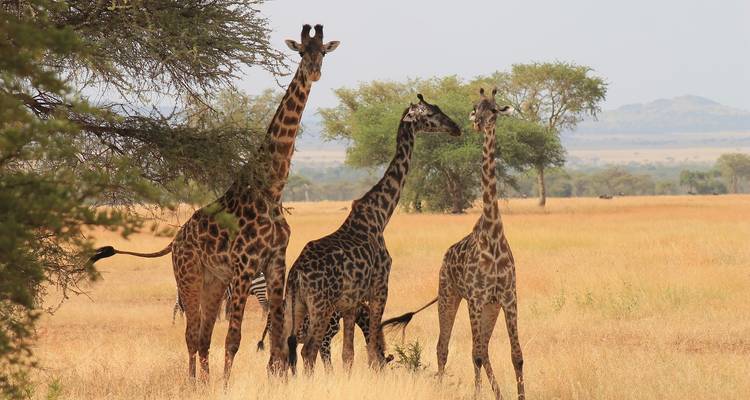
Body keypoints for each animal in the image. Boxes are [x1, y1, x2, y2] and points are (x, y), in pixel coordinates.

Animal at [89, 24, 340, 381]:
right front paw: (226, 384)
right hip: (189, 275)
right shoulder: (244, 264)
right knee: (192, 334)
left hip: (214, 281)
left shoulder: (275, 262)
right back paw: (196, 383)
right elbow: (234, 338)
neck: (271, 190)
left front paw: (275, 380)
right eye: (302, 52)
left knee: (204, 335)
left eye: (324, 53)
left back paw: (204, 382)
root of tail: (176, 240)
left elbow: (277, 336)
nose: (314, 72)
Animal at [283, 95, 462, 374]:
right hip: (320, 305)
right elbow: (372, 353)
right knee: (308, 350)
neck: (380, 216)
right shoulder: (379, 288)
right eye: (431, 113)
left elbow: (348, 354)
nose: (456, 127)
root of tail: (296, 274)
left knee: (283, 352)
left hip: (297, 306)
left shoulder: (351, 303)